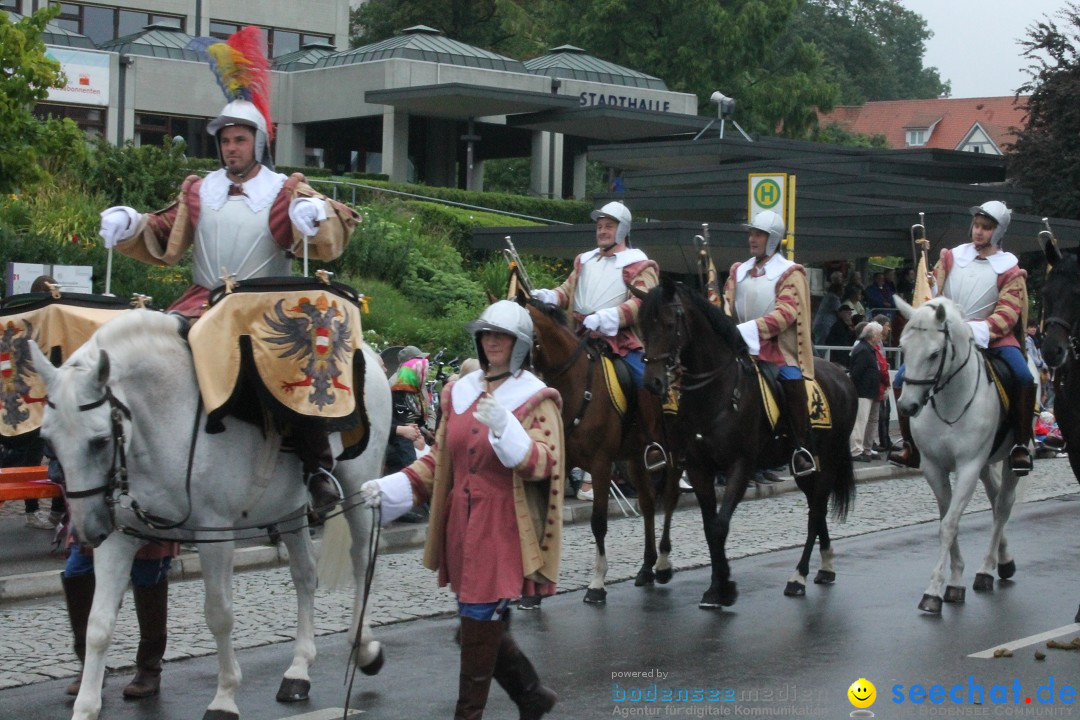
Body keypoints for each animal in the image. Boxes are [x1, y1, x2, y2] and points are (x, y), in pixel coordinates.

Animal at [29, 310, 393, 720]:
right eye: (47, 442)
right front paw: (86, 707)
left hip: (359, 483)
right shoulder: (121, 537)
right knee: (305, 575)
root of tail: (370, 355)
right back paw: (298, 671)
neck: (168, 420)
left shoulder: (215, 533)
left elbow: (219, 614)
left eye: (100, 441)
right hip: (289, 509)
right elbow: (98, 624)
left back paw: (364, 648)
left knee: (362, 560)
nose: (88, 531)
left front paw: (224, 697)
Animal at [518, 295, 678, 604]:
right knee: (648, 504)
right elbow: (544, 519)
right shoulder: (561, 462)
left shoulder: (601, 464)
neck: (575, 385)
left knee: (670, 499)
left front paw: (597, 582)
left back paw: (664, 564)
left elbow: (598, 522)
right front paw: (534, 591)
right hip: (635, 460)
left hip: (677, 454)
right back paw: (646, 567)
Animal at [635, 278, 855, 613]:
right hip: (806, 469)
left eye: (671, 324)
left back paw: (798, 577)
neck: (716, 394)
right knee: (814, 510)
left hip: (828, 461)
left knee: (816, 512)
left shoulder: (740, 465)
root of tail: (841, 374)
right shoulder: (698, 467)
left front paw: (723, 587)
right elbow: (710, 526)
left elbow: (719, 526)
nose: (653, 383)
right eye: (643, 328)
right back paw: (825, 566)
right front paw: (716, 587)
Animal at [894, 295, 1019, 617]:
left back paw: (987, 569)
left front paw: (933, 591)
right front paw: (955, 580)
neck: (950, 400)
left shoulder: (968, 467)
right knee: (995, 500)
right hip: (987, 465)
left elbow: (949, 523)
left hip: (1011, 460)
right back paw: (1003, 559)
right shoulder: (933, 468)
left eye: (935, 353)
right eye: (903, 349)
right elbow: (945, 519)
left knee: (1003, 506)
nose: (907, 406)